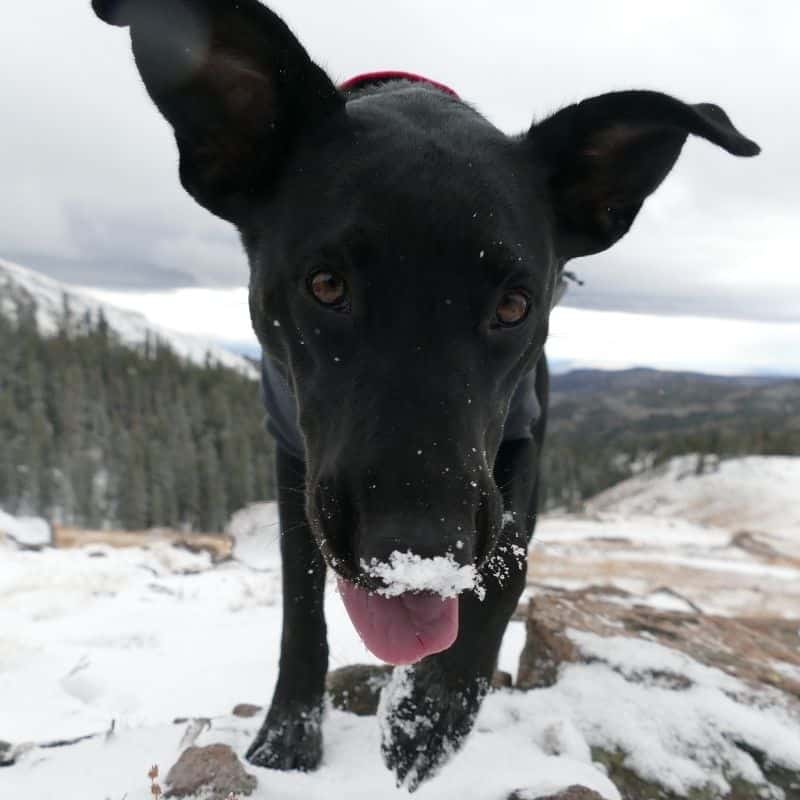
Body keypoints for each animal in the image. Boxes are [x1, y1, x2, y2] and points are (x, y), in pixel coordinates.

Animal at [90, 0, 760, 788]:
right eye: (326, 285)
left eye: (514, 305)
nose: (416, 551)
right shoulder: (291, 454)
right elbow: (300, 604)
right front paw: (289, 732)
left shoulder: (522, 441)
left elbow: (507, 563)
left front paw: (429, 714)